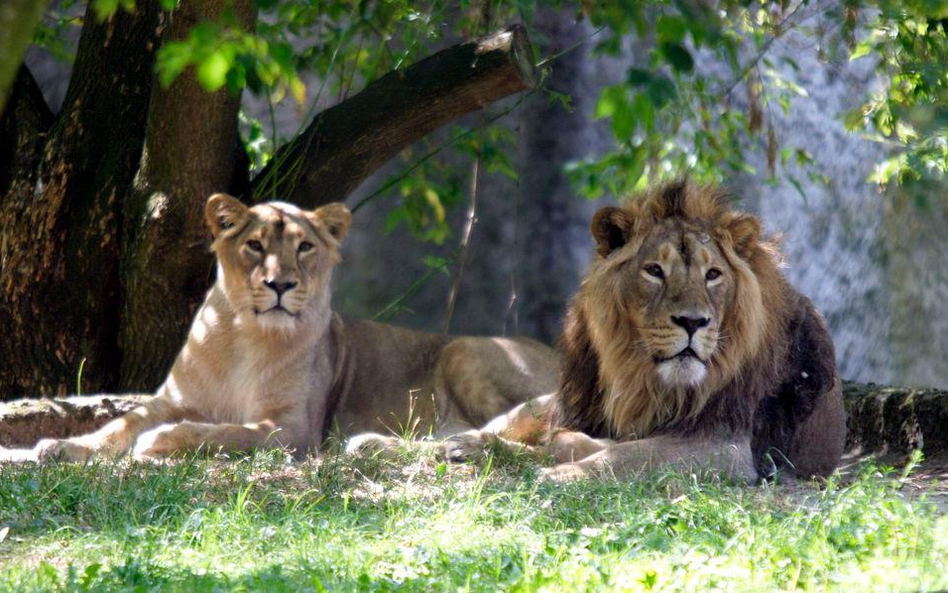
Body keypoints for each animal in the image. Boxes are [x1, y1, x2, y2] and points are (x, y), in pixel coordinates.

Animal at [31, 194, 556, 462]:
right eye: (255, 245)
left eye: (304, 247)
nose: (280, 284)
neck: (244, 336)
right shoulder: (171, 399)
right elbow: (118, 423)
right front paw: (62, 446)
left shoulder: (292, 428)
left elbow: (225, 433)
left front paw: (161, 441)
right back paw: (380, 444)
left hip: (463, 350)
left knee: (521, 433)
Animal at [444, 180, 844, 480]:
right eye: (654, 270)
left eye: (713, 274)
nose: (693, 322)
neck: (641, 379)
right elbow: (595, 445)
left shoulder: (725, 446)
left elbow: (628, 455)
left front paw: (563, 474)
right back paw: (463, 443)